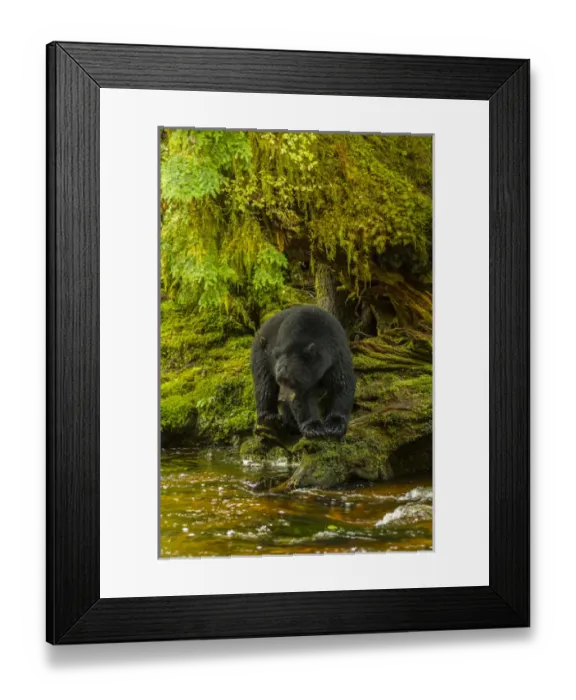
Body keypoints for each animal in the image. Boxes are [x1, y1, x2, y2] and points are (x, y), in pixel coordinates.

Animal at [250, 305, 356, 438]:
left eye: (289, 380)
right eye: (280, 379)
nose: (281, 399)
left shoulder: (337, 355)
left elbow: (342, 384)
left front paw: (335, 425)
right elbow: (302, 399)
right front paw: (314, 428)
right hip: (262, 356)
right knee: (264, 384)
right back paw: (269, 417)